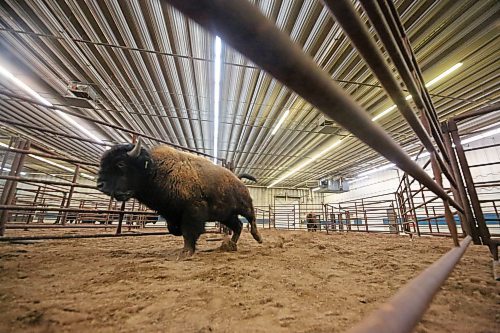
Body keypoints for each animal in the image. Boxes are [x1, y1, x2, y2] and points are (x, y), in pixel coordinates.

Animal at [95, 140, 264, 256]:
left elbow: (189, 231)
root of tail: (237, 179)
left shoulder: (192, 211)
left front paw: (186, 253)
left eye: (121, 164)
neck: (155, 169)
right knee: (238, 226)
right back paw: (230, 245)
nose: (100, 184)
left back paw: (258, 238)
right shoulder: (171, 213)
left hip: (243, 207)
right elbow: (175, 230)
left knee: (251, 218)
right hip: (226, 215)